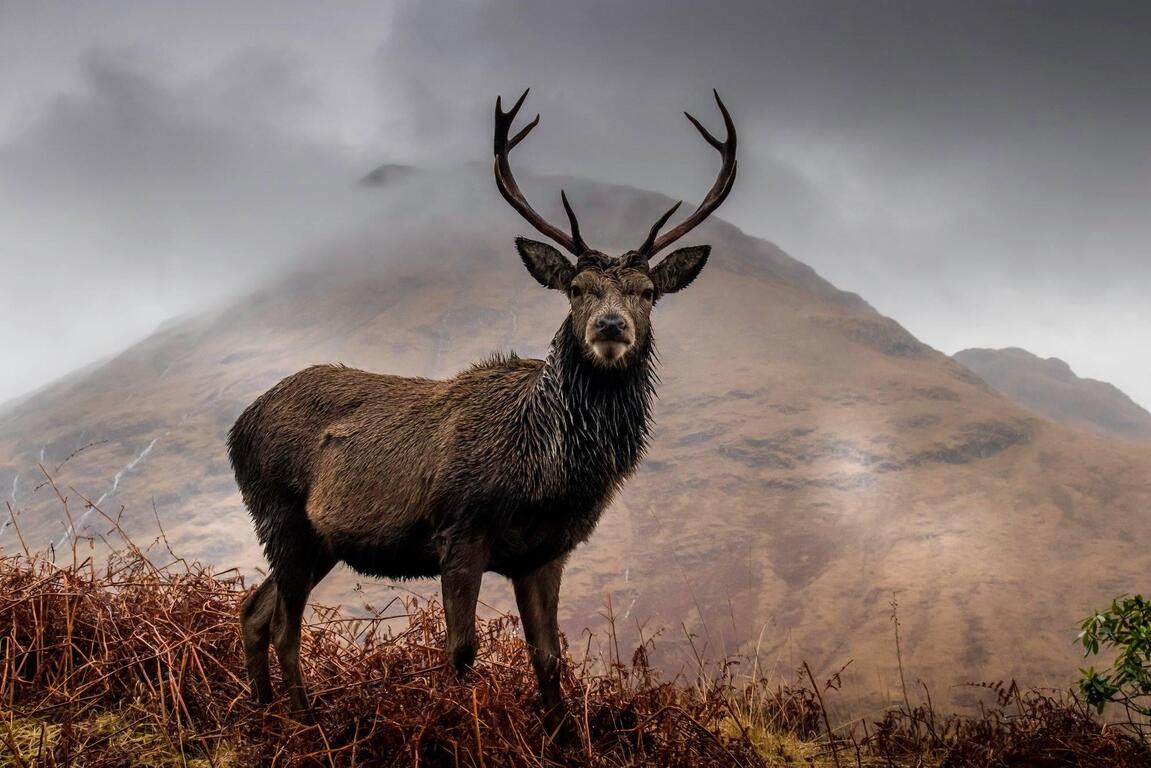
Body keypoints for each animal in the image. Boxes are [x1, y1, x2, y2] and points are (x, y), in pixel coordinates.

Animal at [228, 89, 737, 738]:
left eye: (648, 293)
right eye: (576, 289)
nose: (610, 326)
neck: (546, 473)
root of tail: (236, 426)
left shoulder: (546, 553)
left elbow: (549, 658)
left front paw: (560, 739)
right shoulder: (459, 532)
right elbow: (461, 651)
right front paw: (455, 731)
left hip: (319, 541)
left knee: (254, 610)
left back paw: (264, 714)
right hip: (282, 514)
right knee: (284, 625)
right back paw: (304, 723)